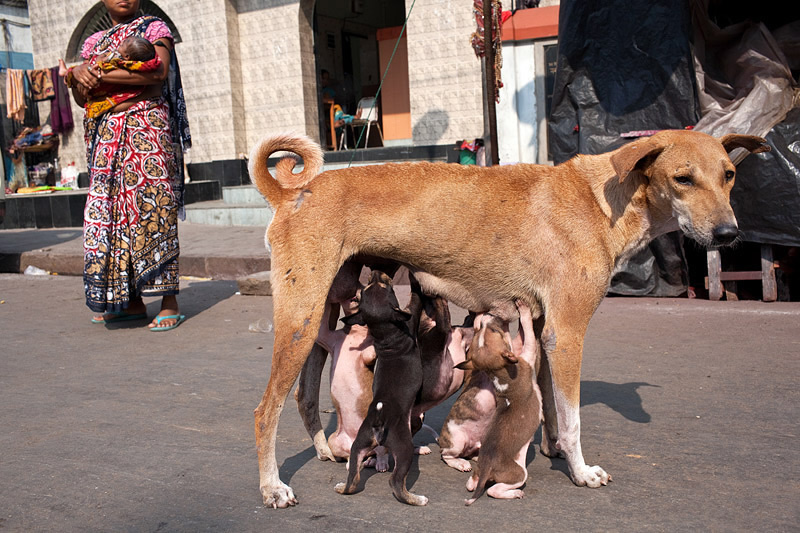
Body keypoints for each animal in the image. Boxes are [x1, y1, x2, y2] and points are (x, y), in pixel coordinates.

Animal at [332, 270, 428, 502]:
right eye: (388, 288)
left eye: (367, 289)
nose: (376, 272)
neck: (387, 334)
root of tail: (379, 416)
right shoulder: (411, 316)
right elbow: (416, 296)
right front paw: (414, 273)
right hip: (402, 446)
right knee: (396, 482)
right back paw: (415, 499)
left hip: (359, 444)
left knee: (353, 477)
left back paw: (342, 487)